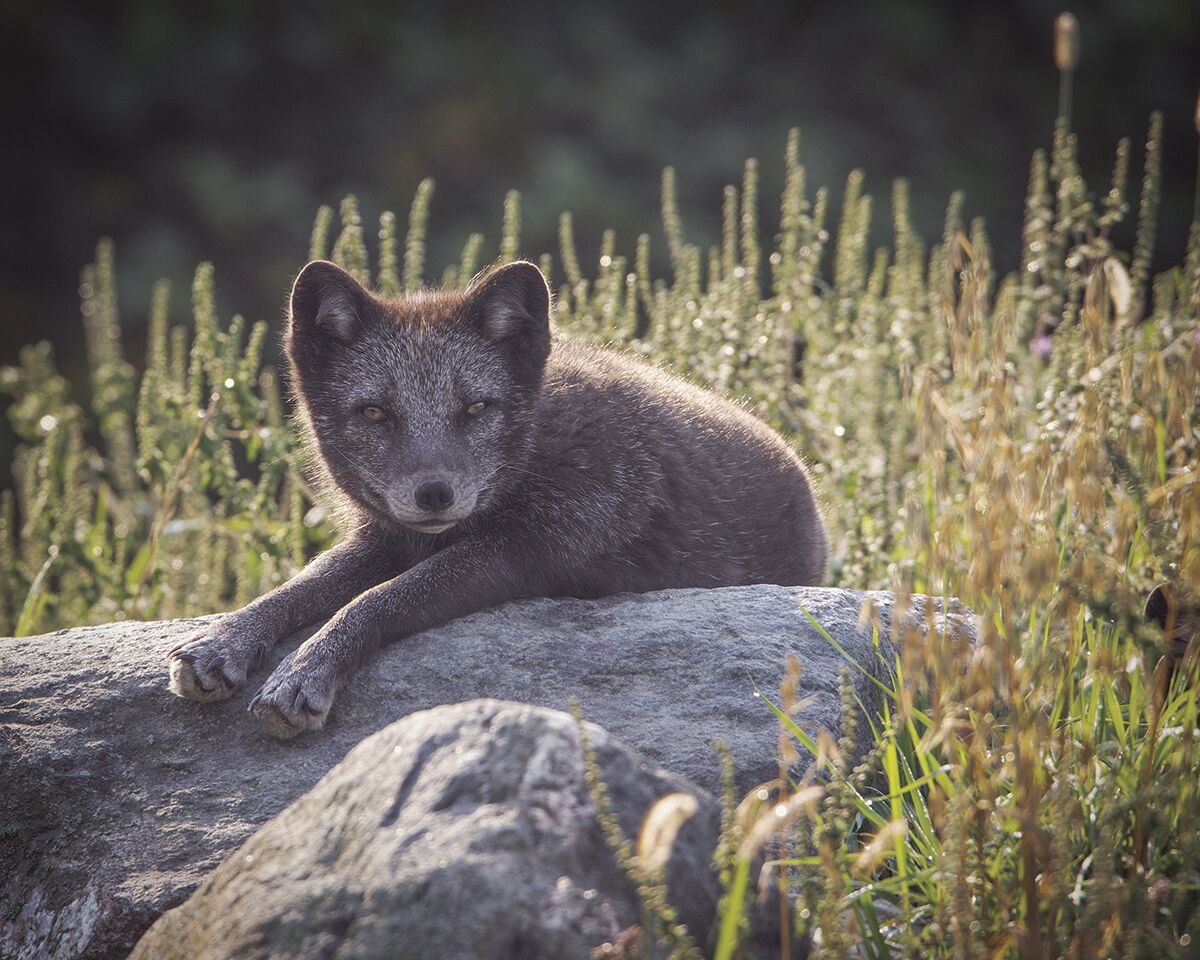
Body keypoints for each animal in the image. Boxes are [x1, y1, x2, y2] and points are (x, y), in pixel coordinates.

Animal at [166, 259, 825, 739]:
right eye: (375, 413)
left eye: (476, 407)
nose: (435, 493)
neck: (539, 442)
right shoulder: (385, 536)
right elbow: (303, 584)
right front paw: (224, 640)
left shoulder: (526, 550)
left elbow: (377, 599)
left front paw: (303, 673)